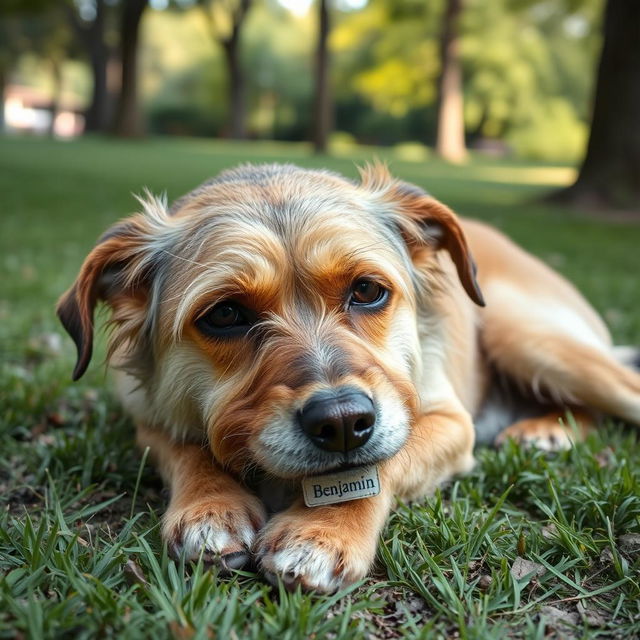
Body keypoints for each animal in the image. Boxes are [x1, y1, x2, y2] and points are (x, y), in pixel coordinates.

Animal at [57, 162, 640, 592]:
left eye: (367, 290)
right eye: (224, 314)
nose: (341, 422)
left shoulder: (449, 421)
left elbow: (379, 463)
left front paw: (321, 532)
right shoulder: (146, 416)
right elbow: (190, 449)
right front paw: (211, 505)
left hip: (522, 333)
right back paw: (545, 429)